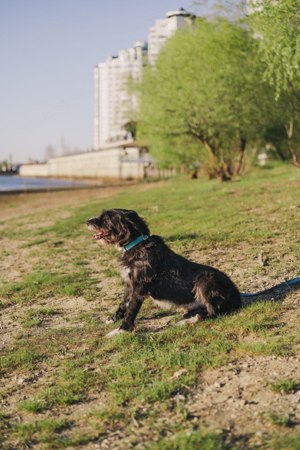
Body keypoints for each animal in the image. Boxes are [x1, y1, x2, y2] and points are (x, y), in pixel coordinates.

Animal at [85, 209, 240, 336]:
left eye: (106, 218)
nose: (86, 221)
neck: (135, 245)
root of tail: (236, 295)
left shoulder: (139, 287)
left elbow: (132, 309)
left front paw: (122, 330)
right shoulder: (129, 283)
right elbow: (124, 303)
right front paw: (114, 319)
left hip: (205, 281)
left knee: (214, 312)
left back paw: (189, 321)